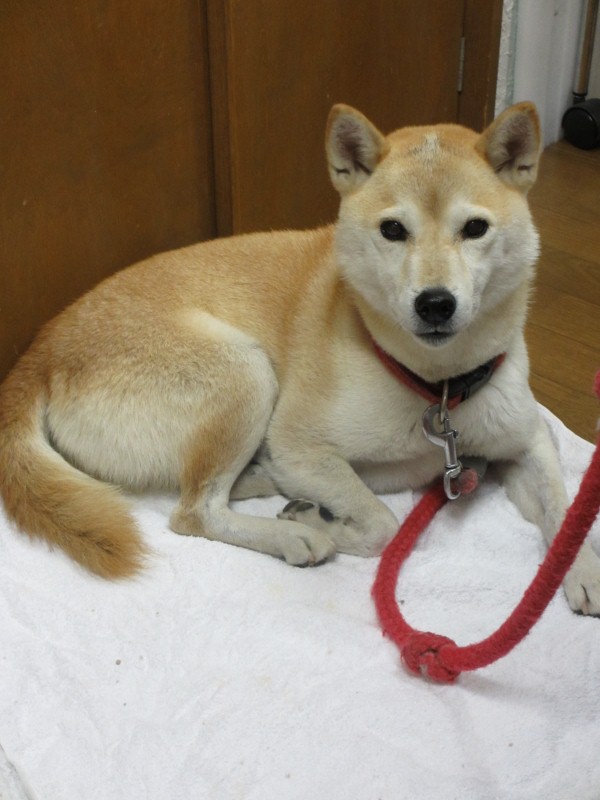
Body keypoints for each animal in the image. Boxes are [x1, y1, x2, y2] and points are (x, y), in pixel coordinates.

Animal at [1, 102, 599, 614]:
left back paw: (270, 484)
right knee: (194, 510)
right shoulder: (300, 444)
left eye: (475, 228)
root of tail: (39, 353)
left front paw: (583, 568)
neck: (439, 388)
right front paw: (332, 526)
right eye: (393, 230)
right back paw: (294, 531)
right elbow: (381, 525)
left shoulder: (526, 439)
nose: (434, 303)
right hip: (246, 373)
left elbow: (564, 511)